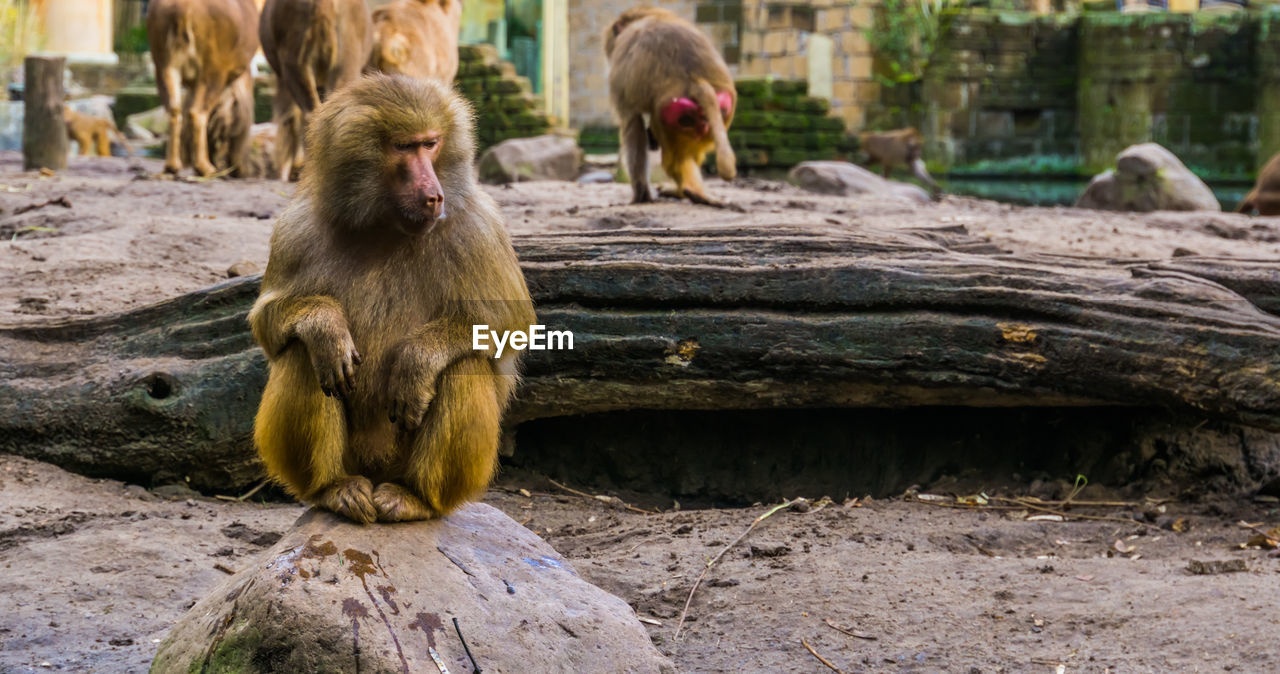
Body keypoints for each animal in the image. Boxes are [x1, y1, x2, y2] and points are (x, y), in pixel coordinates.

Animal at [146, 0, 258, 176]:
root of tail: (182, 9)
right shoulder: (240, 73)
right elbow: (238, 117)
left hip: (164, 66)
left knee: (175, 111)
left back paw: (173, 165)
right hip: (212, 71)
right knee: (197, 113)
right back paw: (204, 167)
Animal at [249, 76, 535, 524]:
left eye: (430, 144)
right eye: (403, 147)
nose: (433, 195)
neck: (386, 226)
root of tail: (376, 472)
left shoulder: (479, 227)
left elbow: (512, 325)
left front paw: (417, 361)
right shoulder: (296, 228)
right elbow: (268, 324)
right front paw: (327, 327)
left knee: (463, 364)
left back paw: (415, 498)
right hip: (354, 461)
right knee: (303, 353)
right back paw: (334, 489)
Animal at [604, 6, 737, 207]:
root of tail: (696, 83)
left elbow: (632, 124)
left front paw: (641, 196)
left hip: (672, 118)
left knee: (672, 160)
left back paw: (689, 192)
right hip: (715, 112)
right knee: (686, 156)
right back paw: (695, 193)